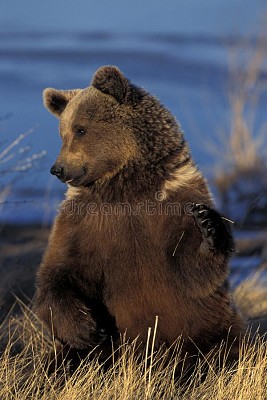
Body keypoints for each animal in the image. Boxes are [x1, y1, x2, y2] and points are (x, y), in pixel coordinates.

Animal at [35, 65, 245, 368]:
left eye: (81, 129)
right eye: (63, 132)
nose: (58, 168)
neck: (126, 187)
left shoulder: (173, 202)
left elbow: (193, 270)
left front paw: (208, 226)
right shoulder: (83, 220)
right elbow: (60, 271)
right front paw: (89, 329)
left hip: (210, 324)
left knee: (227, 347)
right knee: (63, 361)